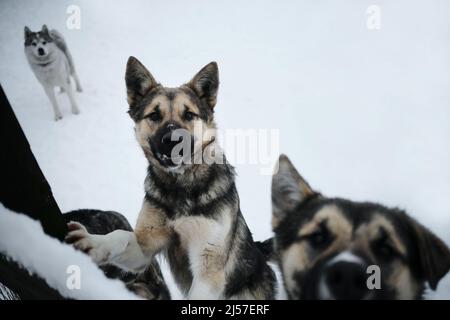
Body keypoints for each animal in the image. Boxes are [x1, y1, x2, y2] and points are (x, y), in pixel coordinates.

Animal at [65, 57, 276, 300]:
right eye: (154, 115)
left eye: (189, 115)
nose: (174, 139)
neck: (181, 186)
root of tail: (258, 250)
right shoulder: (143, 251)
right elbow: (121, 235)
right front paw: (94, 242)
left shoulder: (208, 272)